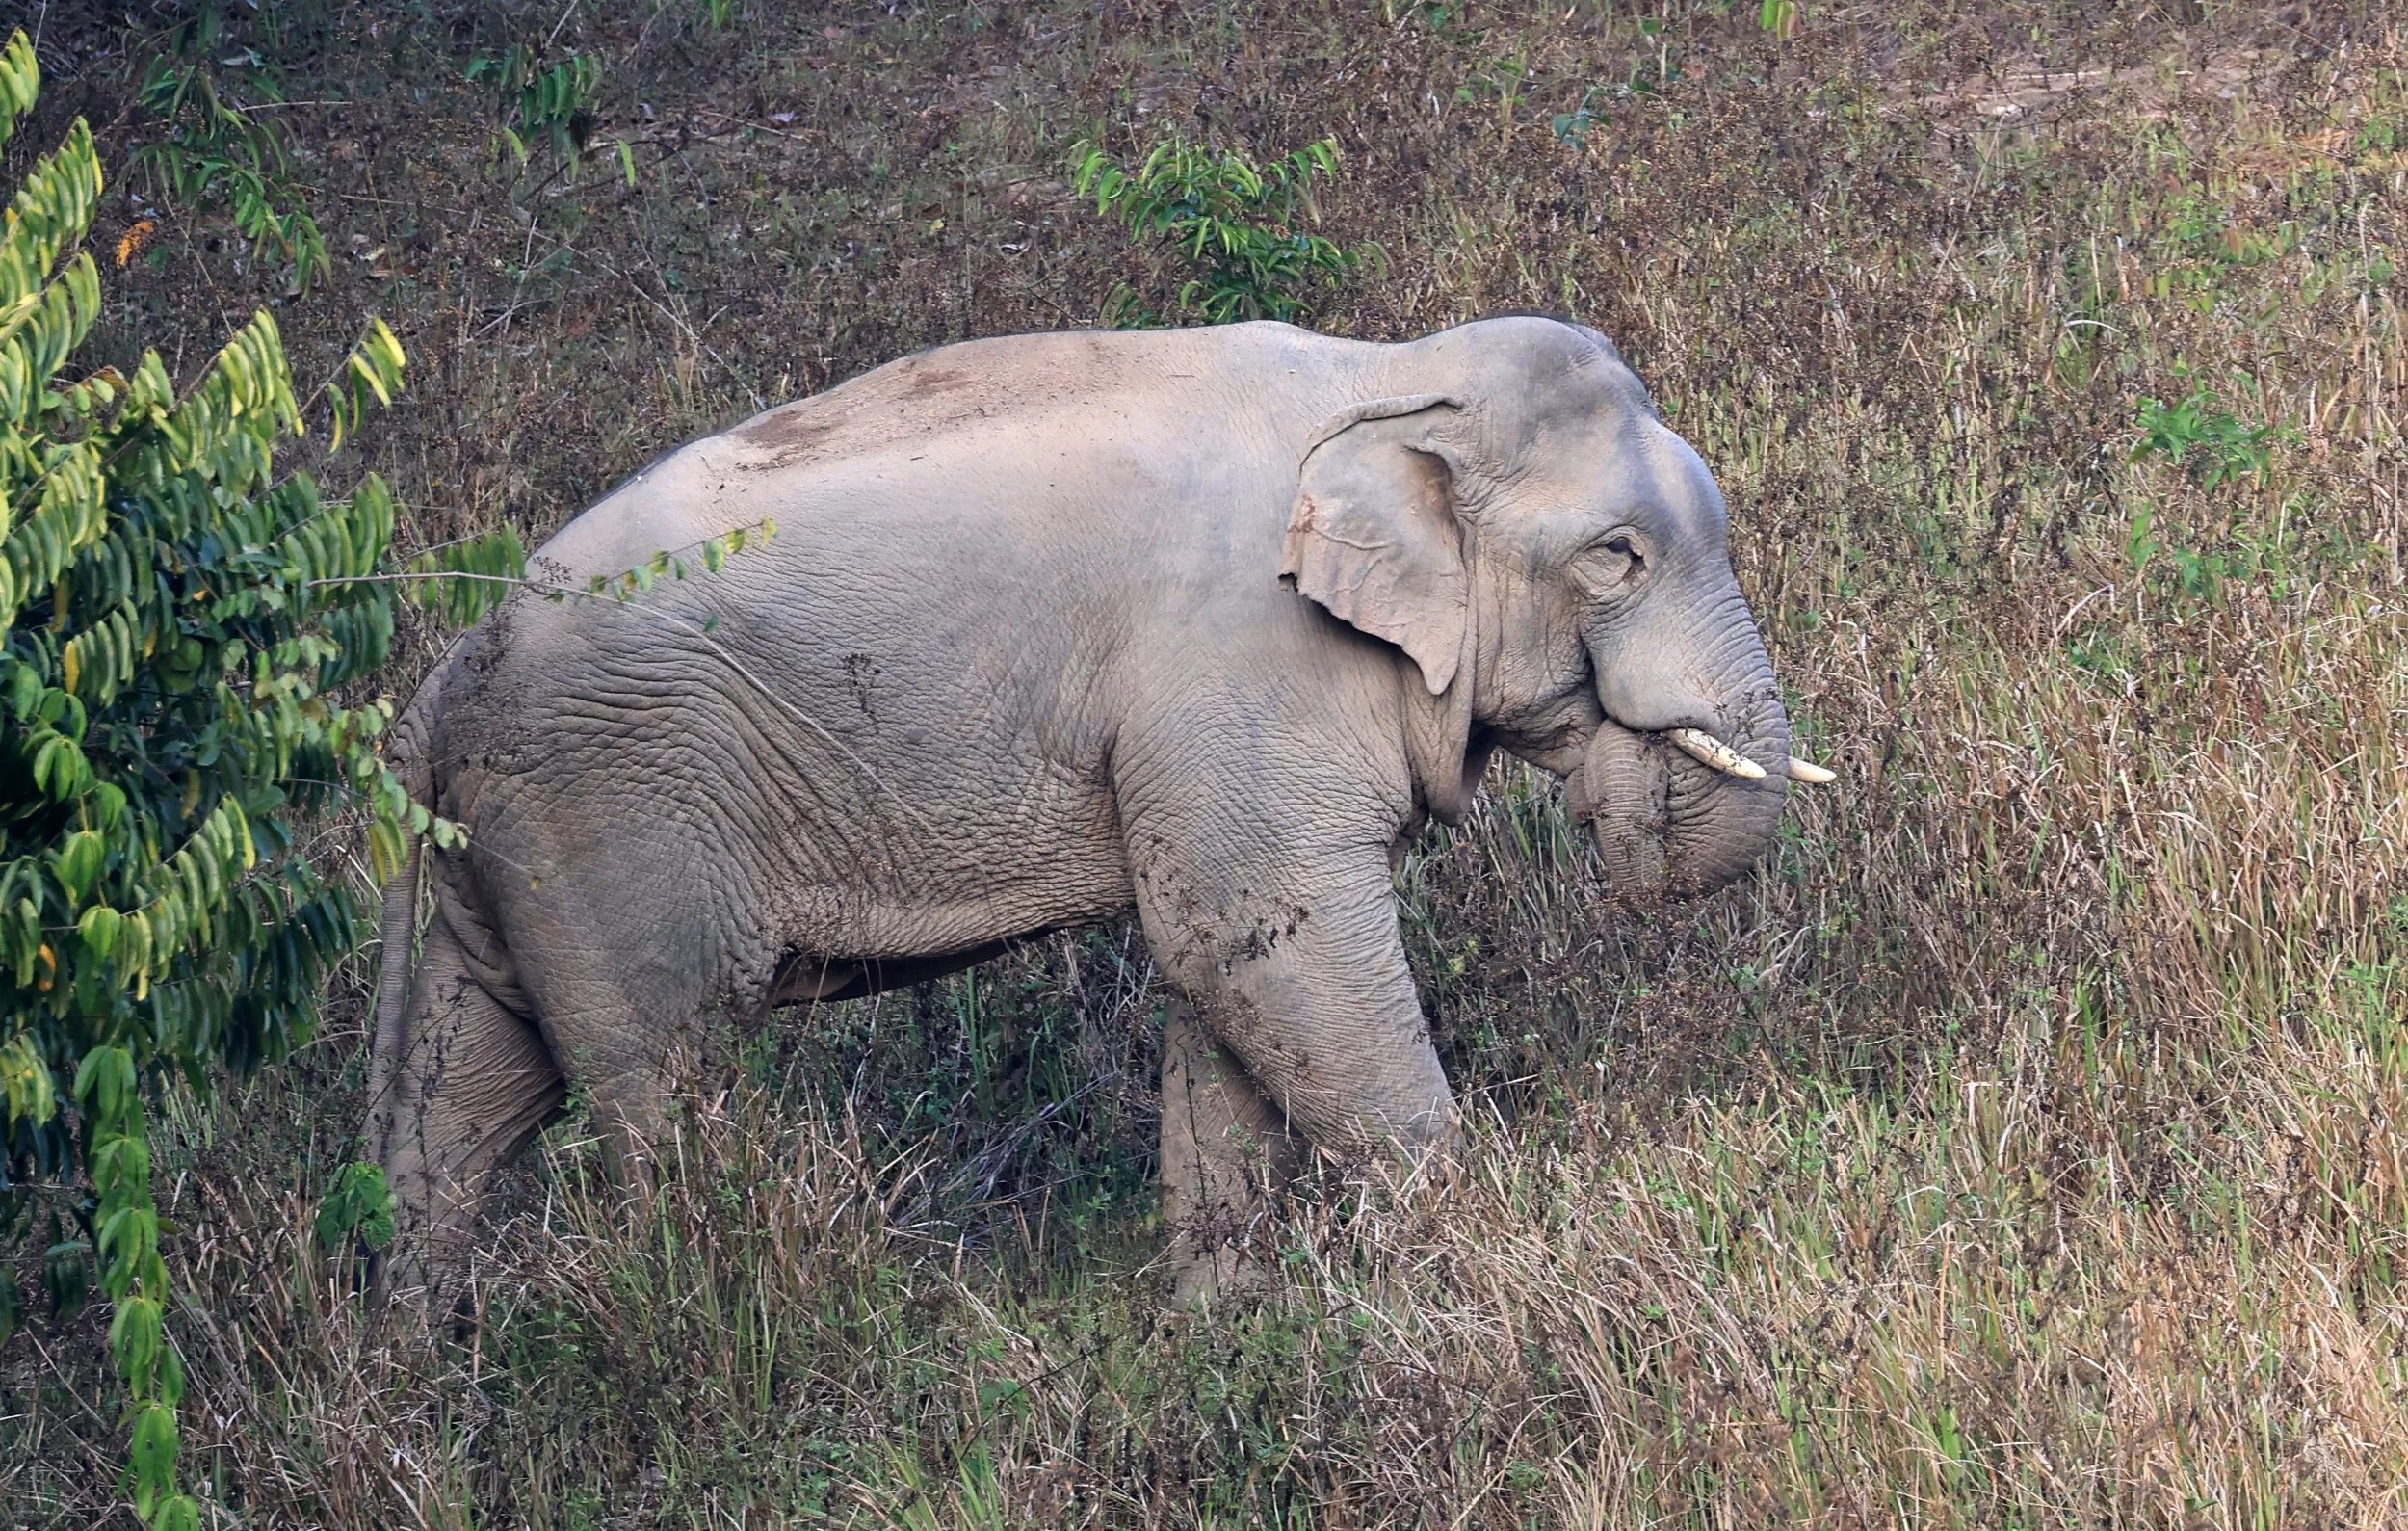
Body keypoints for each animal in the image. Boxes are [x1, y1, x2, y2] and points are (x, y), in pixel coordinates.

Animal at [365, 314, 1827, 1304]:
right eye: (1615, 555)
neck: (1384, 377)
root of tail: (437, 684)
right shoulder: (1243, 669)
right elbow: (1267, 944)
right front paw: (1461, 1263)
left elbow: (1220, 972)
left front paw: (1226, 1326)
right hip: (614, 811)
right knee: (666, 1076)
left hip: (511, 846)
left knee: (462, 1093)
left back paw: (418, 1374)